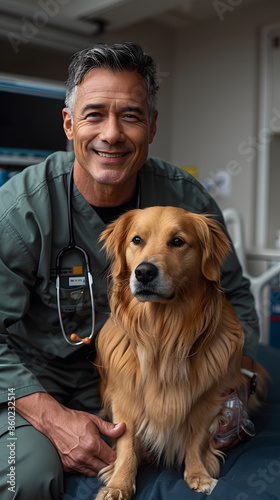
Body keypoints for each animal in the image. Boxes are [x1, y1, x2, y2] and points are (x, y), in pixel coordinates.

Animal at [95, 205, 258, 498]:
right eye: (137, 240)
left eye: (178, 241)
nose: (144, 272)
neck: (162, 334)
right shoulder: (125, 399)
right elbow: (126, 443)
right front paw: (119, 483)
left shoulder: (208, 399)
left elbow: (197, 438)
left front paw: (198, 474)